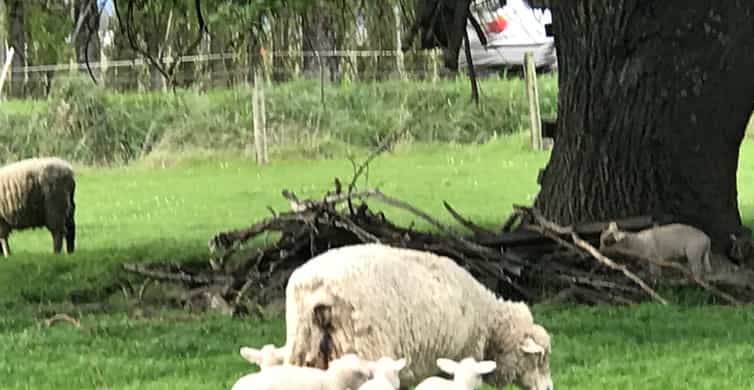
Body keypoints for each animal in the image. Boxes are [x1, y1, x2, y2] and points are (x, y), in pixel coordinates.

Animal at [282, 244, 552, 390]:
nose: (550, 387)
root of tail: (319, 286)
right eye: (539, 358)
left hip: (301, 346)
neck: (489, 323)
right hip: (365, 349)